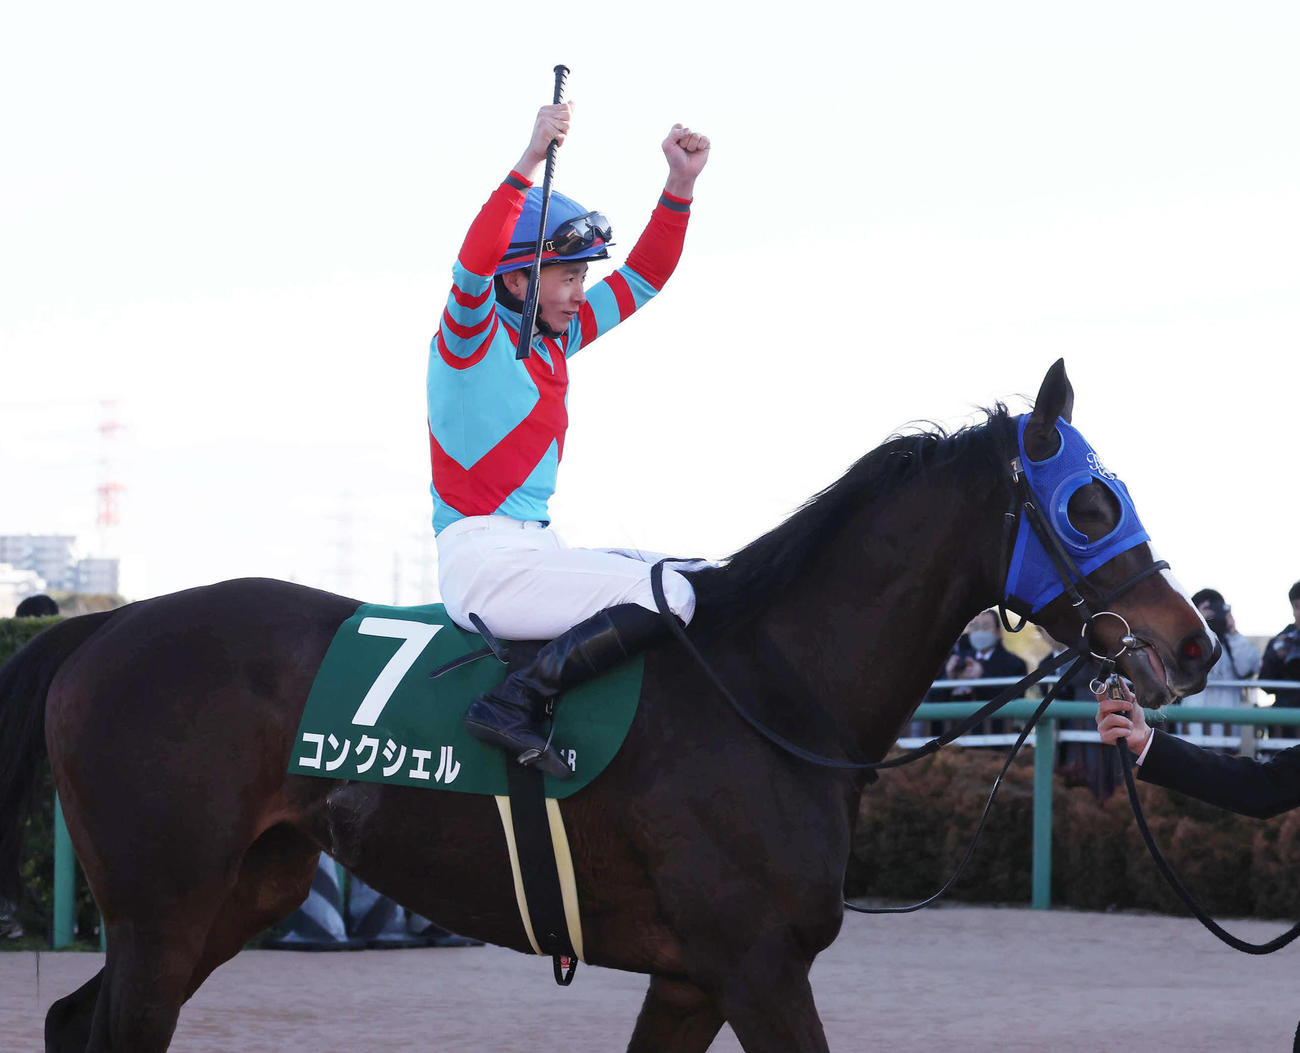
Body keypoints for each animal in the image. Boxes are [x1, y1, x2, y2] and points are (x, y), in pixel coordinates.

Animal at [0, 360, 1215, 1052]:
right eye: (1093, 502)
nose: (1193, 641)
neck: (774, 692)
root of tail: (105, 628)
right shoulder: (755, 962)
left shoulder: (690, 979)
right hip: (162, 906)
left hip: (247, 889)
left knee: (75, 1022)